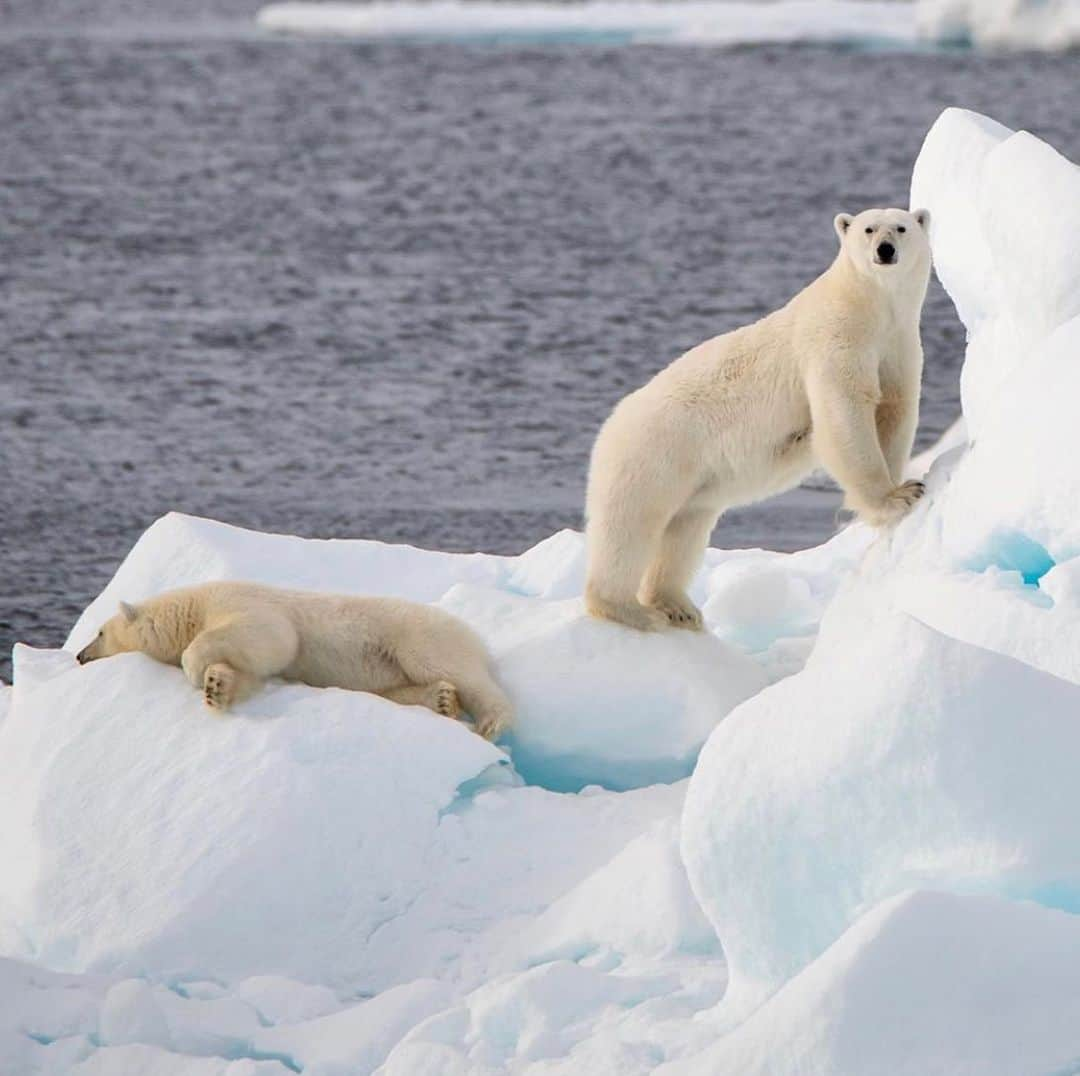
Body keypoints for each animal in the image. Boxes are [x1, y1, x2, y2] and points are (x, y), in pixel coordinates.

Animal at [77, 579, 514, 738]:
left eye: (98, 632)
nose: (80, 656)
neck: (193, 606)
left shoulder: (242, 602)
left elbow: (270, 637)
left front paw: (198, 670)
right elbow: (250, 672)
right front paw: (218, 687)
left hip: (416, 634)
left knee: (450, 667)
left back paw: (489, 722)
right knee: (401, 688)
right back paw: (441, 700)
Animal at [587, 206, 933, 635]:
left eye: (901, 228)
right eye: (869, 229)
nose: (885, 250)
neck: (872, 307)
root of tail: (611, 424)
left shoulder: (898, 344)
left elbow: (895, 409)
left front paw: (901, 487)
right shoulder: (835, 340)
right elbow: (844, 412)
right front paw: (897, 498)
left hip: (691, 484)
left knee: (683, 532)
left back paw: (677, 607)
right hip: (651, 454)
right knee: (631, 525)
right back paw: (627, 609)